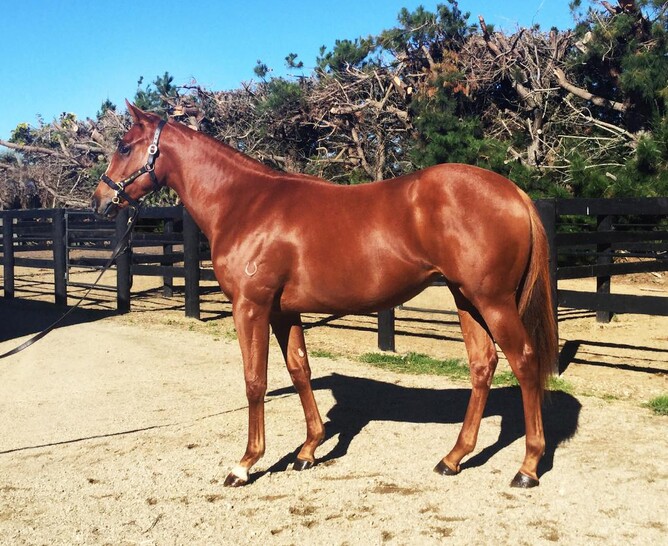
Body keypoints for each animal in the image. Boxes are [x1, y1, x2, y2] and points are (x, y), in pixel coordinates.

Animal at [91, 102, 558, 489]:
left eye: (125, 145)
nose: (100, 200)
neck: (245, 203)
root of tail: (514, 192)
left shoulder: (250, 307)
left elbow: (254, 381)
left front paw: (245, 464)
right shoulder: (284, 312)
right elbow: (300, 370)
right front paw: (308, 450)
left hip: (493, 301)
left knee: (524, 362)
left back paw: (528, 467)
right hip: (467, 299)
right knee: (483, 365)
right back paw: (453, 458)